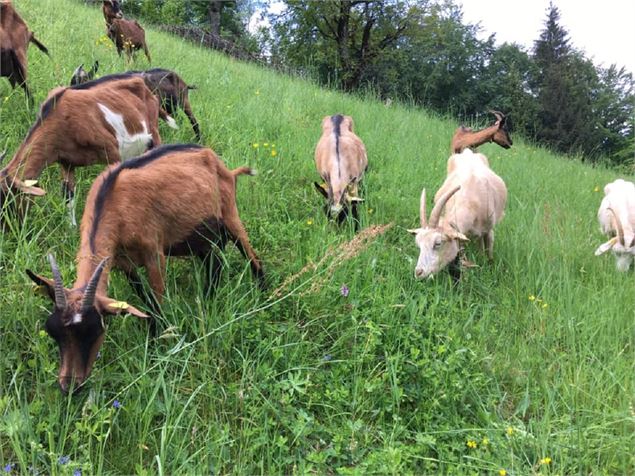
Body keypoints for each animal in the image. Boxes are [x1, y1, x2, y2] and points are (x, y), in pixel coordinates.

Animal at [26, 142, 264, 394]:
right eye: (53, 331)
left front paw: (157, 342)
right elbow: (142, 296)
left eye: (94, 330)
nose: (69, 387)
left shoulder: (154, 254)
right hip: (197, 237)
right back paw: (208, 300)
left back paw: (262, 292)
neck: (114, 203)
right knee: (215, 264)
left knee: (252, 257)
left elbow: (157, 299)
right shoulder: (123, 263)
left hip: (229, 215)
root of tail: (221, 164)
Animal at [69, 62, 200, 139]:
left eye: (79, 81)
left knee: (194, 121)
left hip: (184, 101)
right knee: (179, 119)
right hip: (171, 107)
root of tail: (185, 83)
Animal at [410, 150, 510, 278]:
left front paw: (489, 267)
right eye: (418, 244)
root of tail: (468, 151)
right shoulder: (460, 236)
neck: (471, 200)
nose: (418, 272)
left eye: (438, 243)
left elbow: (489, 251)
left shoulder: (489, 229)